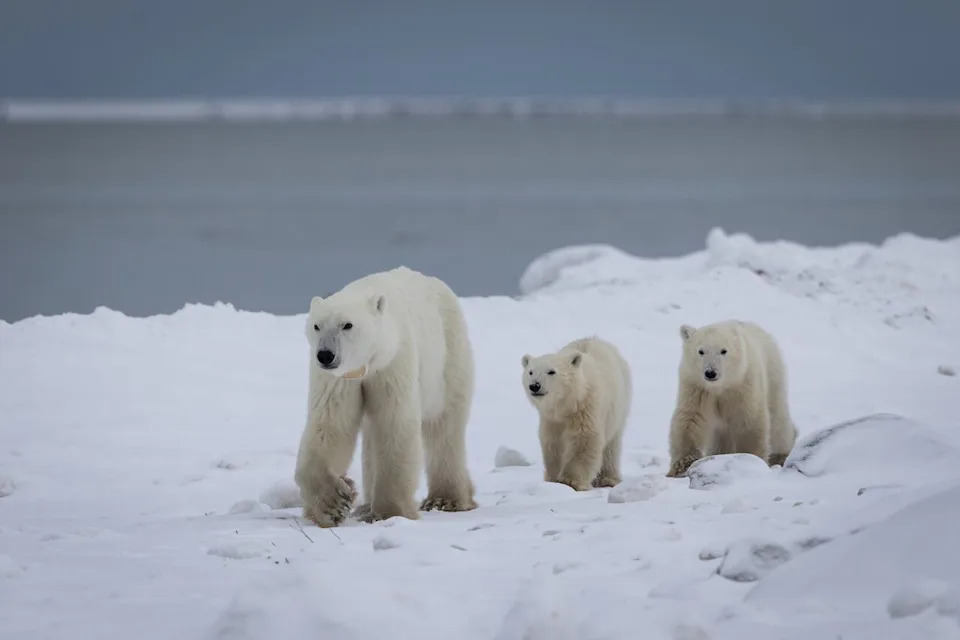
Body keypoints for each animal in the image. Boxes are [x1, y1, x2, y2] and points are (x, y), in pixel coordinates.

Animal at [294, 266, 477, 527]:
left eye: (347, 325)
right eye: (317, 326)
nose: (325, 355)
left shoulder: (393, 362)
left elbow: (394, 424)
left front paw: (391, 512)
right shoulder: (340, 379)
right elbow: (330, 424)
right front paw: (334, 504)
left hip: (448, 355)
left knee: (444, 425)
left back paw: (446, 499)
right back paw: (365, 506)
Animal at [521, 336, 632, 491]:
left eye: (551, 371)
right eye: (530, 372)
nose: (534, 386)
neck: (565, 405)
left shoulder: (585, 409)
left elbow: (584, 439)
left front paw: (570, 481)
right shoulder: (550, 419)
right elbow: (553, 443)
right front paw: (553, 479)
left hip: (619, 404)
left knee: (612, 444)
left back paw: (608, 479)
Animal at [666, 320, 798, 478]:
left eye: (723, 351)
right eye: (701, 351)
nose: (710, 373)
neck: (719, 387)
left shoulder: (743, 384)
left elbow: (749, 420)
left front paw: (751, 459)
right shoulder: (696, 387)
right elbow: (690, 419)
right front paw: (682, 466)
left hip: (773, 374)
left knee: (778, 419)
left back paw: (781, 455)